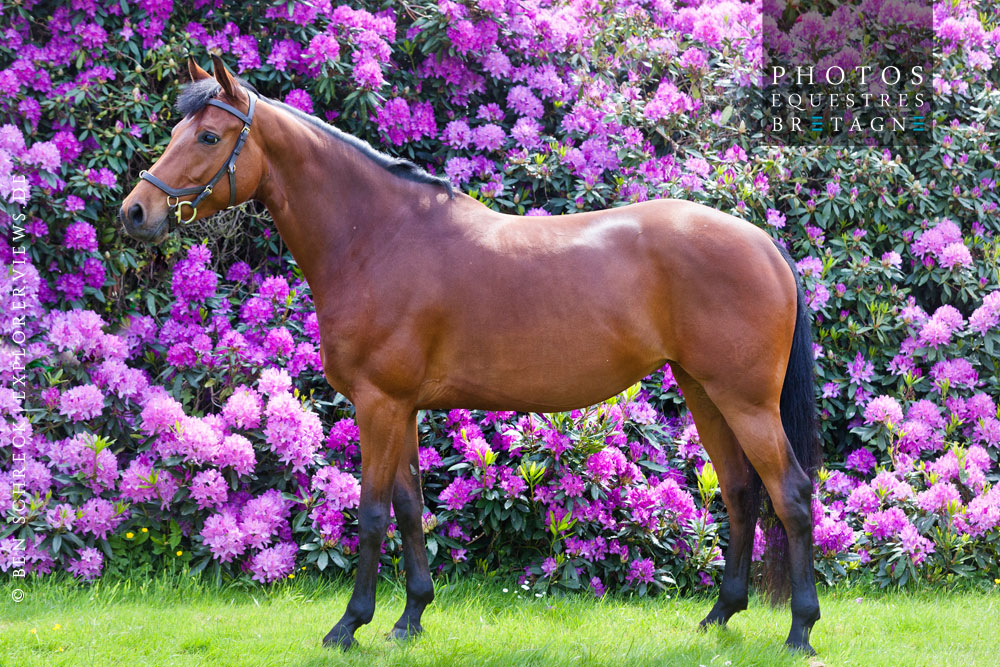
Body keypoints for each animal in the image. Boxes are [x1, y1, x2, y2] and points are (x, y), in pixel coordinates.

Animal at [120, 55, 822, 654]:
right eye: (179, 130)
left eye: (209, 137)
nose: (136, 210)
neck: (379, 239)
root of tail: (765, 242)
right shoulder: (401, 408)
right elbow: (410, 509)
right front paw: (409, 619)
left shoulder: (379, 404)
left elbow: (371, 514)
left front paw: (349, 625)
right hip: (705, 391)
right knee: (741, 492)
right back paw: (719, 616)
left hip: (744, 400)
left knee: (789, 493)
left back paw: (800, 631)